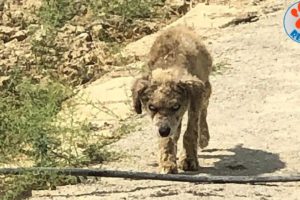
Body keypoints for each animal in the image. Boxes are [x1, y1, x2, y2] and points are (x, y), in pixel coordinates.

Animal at [132, 26, 212, 173]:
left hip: (207, 89)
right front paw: (167, 162)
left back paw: (204, 137)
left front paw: (188, 158)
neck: (169, 65)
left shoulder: (195, 100)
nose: (163, 131)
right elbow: (167, 139)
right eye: (151, 107)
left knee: (204, 110)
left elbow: (191, 131)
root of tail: (179, 27)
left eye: (176, 106)